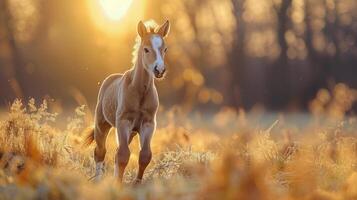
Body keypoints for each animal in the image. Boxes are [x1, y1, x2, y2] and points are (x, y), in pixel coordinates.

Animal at [83, 19, 170, 184]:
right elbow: (123, 155)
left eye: (165, 49)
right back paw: (97, 180)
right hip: (102, 125)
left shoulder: (148, 124)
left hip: (131, 133)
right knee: (100, 152)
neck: (139, 91)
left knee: (116, 153)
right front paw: (118, 184)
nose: (160, 70)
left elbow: (144, 155)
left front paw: (136, 183)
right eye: (146, 49)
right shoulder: (123, 121)